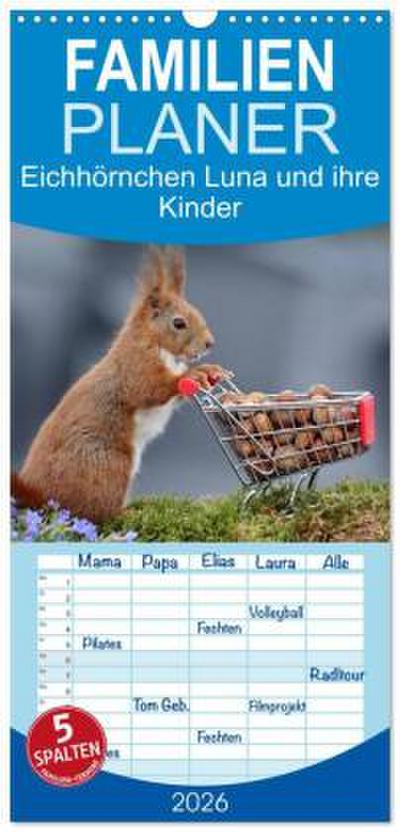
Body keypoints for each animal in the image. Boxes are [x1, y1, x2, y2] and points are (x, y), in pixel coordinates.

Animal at [12, 245, 228, 523]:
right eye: (178, 323)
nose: (209, 343)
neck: (156, 344)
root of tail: (43, 497)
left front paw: (211, 372)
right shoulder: (135, 367)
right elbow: (151, 388)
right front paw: (194, 374)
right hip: (110, 465)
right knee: (96, 513)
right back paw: (126, 513)